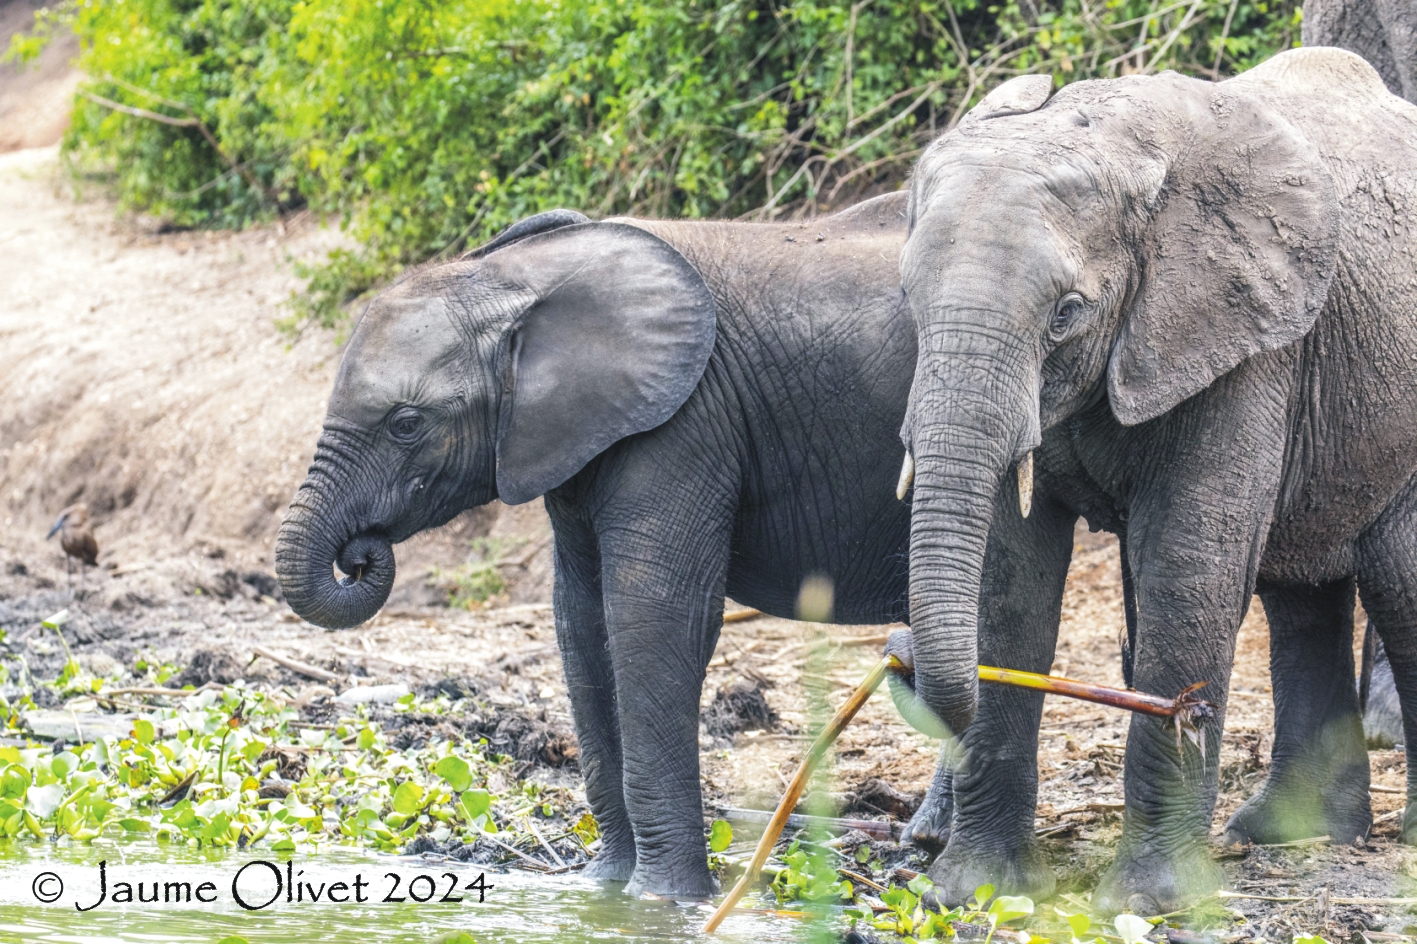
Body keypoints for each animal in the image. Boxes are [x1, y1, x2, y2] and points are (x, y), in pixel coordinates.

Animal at [274, 192, 952, 895]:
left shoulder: (686, 420)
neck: (514, 278)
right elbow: (580, 620)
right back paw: (926, 841)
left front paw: (662, 900)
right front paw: (603, 888)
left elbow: (652, 614)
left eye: (406, 424)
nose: (359, 556)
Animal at [889, 51, 1417, 912]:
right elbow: (1008, 574)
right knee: (1299, 591)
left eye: (1066, 312)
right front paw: (970, 892)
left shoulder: (1244, 339)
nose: (897, 654)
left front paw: (1145, 902)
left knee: (1396, 583)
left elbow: (1187, 563)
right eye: (906, 300)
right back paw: (1286, 834)